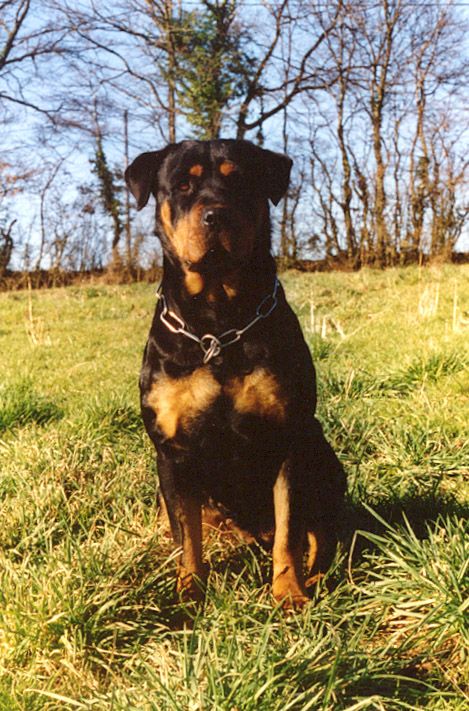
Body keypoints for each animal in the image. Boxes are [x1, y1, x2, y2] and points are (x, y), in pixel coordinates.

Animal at [125, 139, 346, 608]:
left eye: (240, 179)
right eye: (183, 185)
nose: (216, 214)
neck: (218, 321)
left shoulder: (287, 440)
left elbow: (289, 530)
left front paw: (289, 593)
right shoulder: (173, 452)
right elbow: (186, 537)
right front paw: (188, 594)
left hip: (323, 455)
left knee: (320, 533)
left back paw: (320, 577)